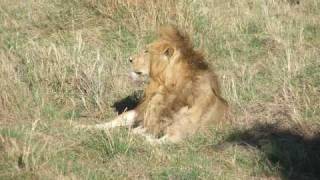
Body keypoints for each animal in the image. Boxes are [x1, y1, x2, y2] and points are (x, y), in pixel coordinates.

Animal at [81, 25, 229, 143]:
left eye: (147, 51)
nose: (130, 59)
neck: (163, 87)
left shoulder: (179, 133)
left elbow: (150, 140)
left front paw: (133, 134)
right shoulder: (146, 114)